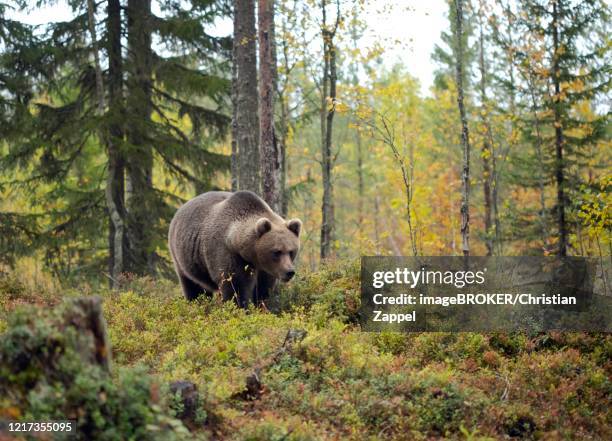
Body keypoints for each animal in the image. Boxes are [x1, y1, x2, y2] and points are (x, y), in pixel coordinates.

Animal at [167, 191, 302, 308]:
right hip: (183, 258)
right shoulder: (227, 254)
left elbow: (263, 289)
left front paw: (261, 306)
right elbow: (236, 286)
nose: (289, 272)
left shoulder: (266, 270)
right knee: (193, 286)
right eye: (276, 252)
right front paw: (240, 308)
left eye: (291, 251)